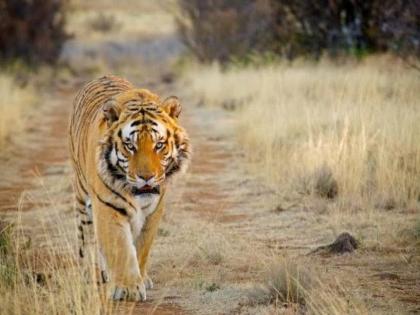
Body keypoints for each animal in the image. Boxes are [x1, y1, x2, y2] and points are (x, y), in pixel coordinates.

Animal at [67, 75, 192, 302]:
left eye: (159, 145)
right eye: (130, 146)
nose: (146, 177)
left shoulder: (154, 211)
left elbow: (141, 247)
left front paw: (140, 279)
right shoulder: (108, 206)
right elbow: (120, 247)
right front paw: (127, 289)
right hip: (82, 196)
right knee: (86, 237)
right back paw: (91, 272)